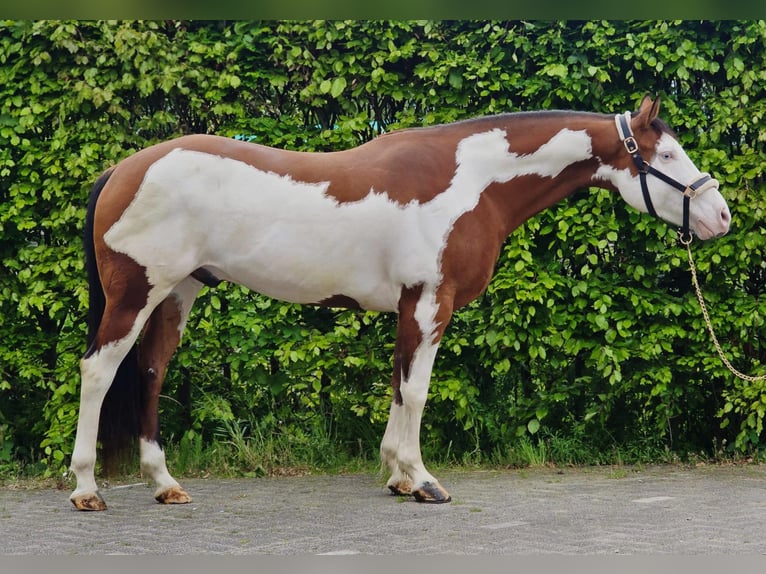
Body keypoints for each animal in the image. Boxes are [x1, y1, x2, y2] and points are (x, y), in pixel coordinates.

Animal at [68, 96, 731, 510]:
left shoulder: (412, 308)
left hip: (177, 292)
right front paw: (422, 480)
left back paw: (164, 483)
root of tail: (122, 169)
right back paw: (85, 489)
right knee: (98, 371)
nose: (720, 217)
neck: (474, 183)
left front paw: (396, 477)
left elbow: (396, 386)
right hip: (137, 293)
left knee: (150, 373)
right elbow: (416, 391)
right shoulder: (430, 302)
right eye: (667, 156)